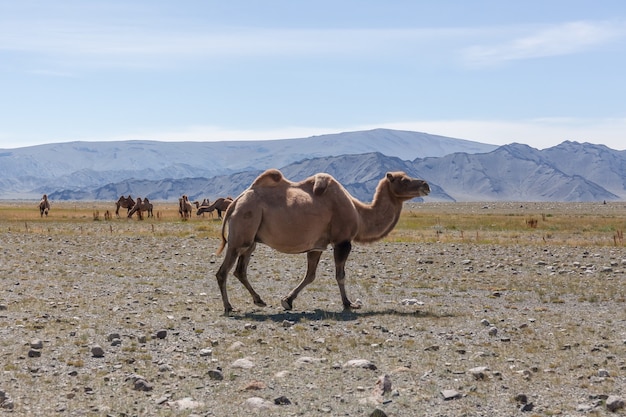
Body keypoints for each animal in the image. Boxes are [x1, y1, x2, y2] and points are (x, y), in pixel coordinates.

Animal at [216, 167, 428, 314]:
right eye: (404, 180)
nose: (425, 185)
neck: (359, 214)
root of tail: (236, 202)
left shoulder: (316, 246)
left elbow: (310, 276)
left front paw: (287, 300)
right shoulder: (342, 241)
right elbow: (340, 275)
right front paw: (349, 303)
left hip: (250, 240)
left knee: (239, 270)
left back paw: (259, 300)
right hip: (241, 231)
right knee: (223, 272)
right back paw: (228, 307)